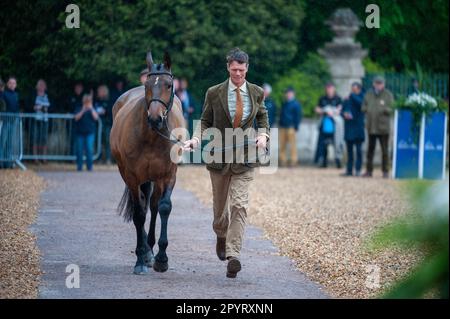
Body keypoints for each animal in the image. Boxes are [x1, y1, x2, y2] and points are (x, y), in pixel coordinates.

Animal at [110, 52, 185, 276]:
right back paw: (143, 252)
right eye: (147, 85)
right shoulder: (132, 177)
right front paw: (140, 259)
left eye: (169, 85)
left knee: (153, 205)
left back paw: (150, 250)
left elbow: (164, 207)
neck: (152, 136)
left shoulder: (168, 175)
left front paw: (161, 258)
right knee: (143, 207)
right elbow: (139, 214)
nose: (155, 118)